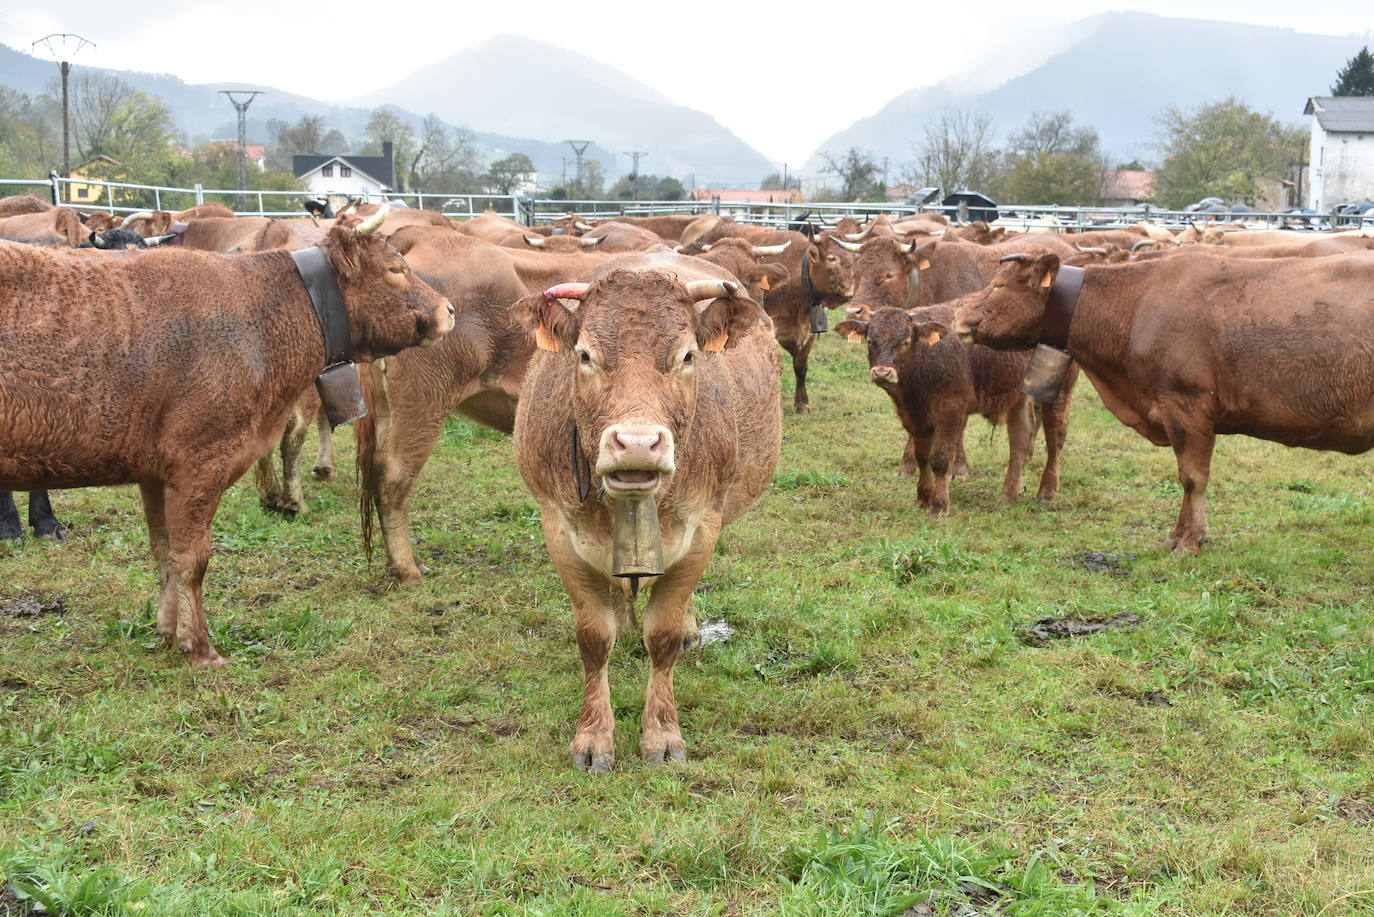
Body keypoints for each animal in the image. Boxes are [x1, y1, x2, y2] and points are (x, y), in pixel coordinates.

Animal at [513, 254, 785, 769]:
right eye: (585, 355)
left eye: (687, 356)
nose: (637, 444)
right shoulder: (559, 529)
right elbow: (594, 636)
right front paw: (593, 739)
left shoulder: (701, 529)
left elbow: (663, 633)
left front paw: (661, 735)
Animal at [956, 247, 1374, 552]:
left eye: (998, 285)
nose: (958, 313)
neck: (1138, 302)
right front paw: (1177, 534)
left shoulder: (1186, 407)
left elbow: (1193, 477)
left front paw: (1190, 541)